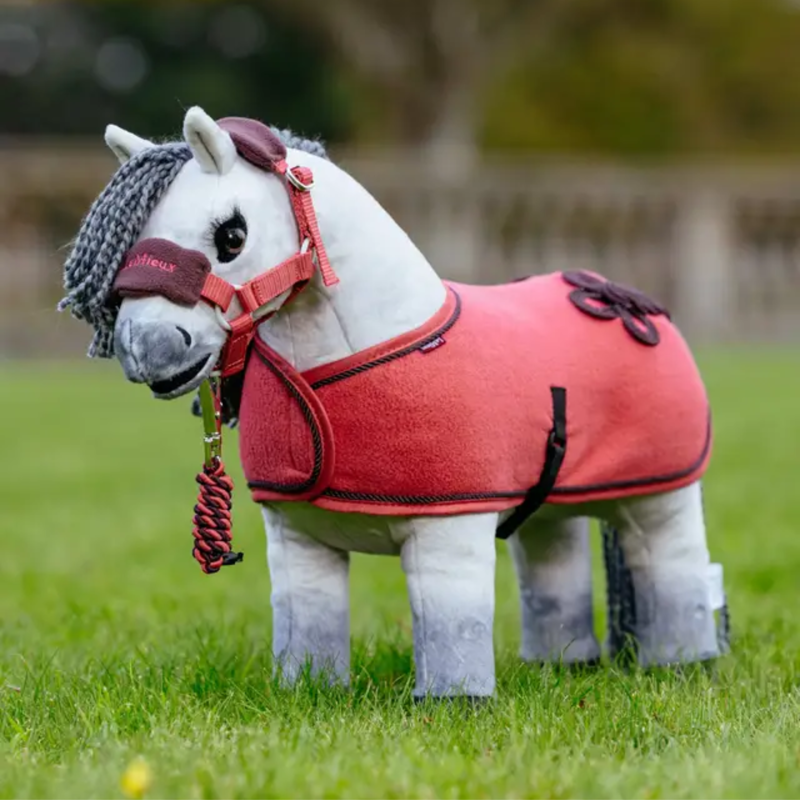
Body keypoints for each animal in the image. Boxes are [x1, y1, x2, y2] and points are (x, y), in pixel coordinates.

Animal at [60, 106, 728, 700]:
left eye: (231, 235)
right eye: (128, 241)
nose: (146, 348)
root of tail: (621, 295)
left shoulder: (449, 531)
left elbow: (451, 623)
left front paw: (454, 703)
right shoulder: (298, 537)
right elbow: (308, 623)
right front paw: (310, 692)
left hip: (663, 497)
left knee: (674, 566)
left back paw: (680, 664)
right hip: (550, 509)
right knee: (553, 563)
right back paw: (561, 665)